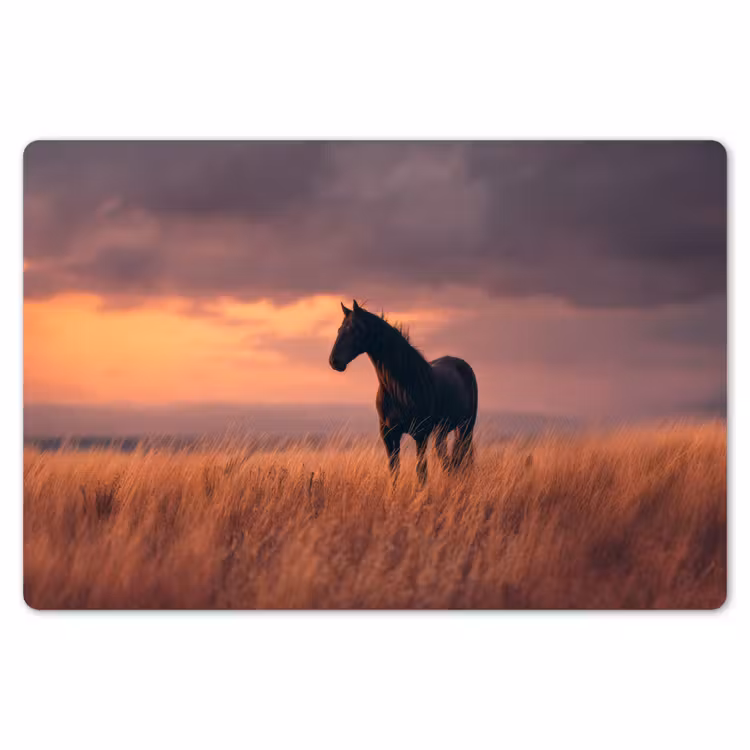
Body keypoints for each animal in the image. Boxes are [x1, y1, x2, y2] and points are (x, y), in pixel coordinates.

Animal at [328, 300, 478, 487]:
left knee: (460, 458)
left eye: (356, 329)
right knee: (448, 460)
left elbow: (421, 472)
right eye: (339, 329)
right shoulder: (389, 434)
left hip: (465, 428)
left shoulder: (420, 434)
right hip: (442, 431)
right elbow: (394, 471)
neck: (401, 387)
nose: (334, 361)